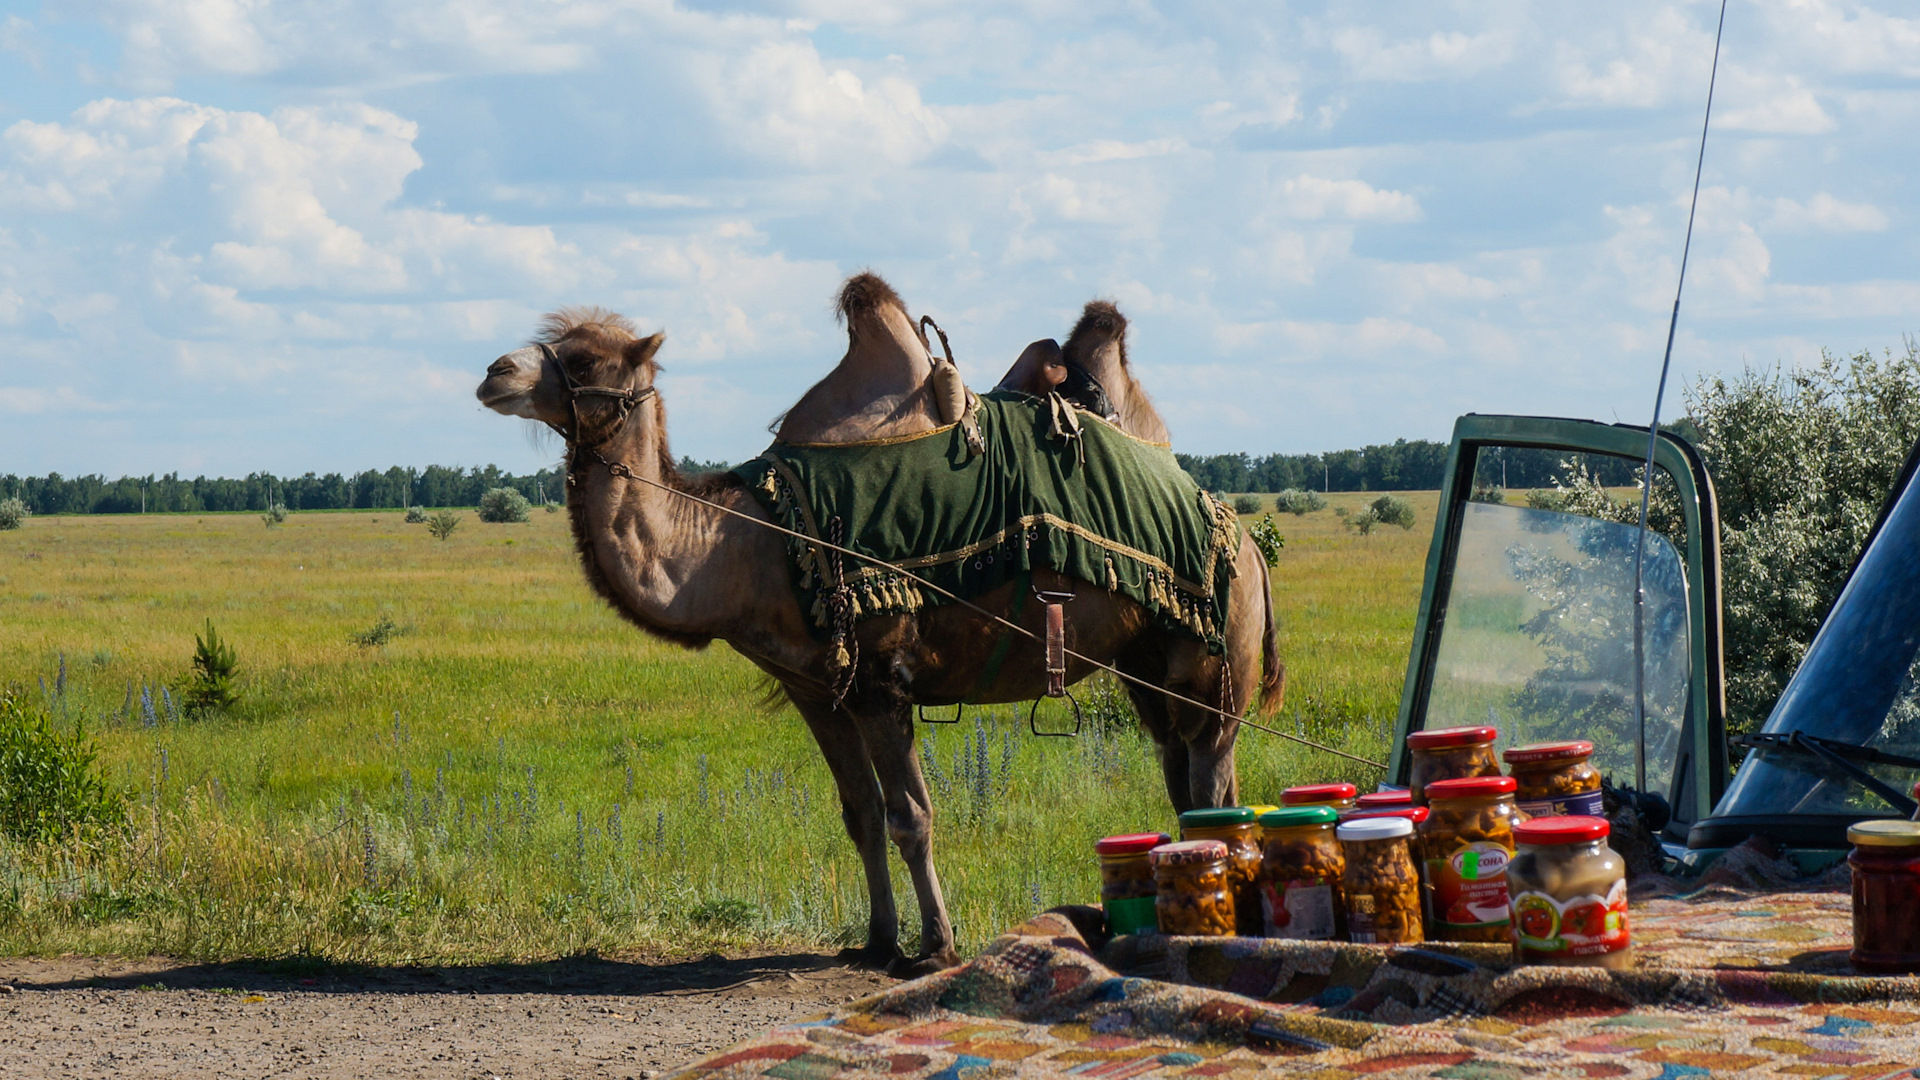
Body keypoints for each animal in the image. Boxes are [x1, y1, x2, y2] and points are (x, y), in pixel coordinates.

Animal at [478, 272, 1282, 972]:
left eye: (583, 358)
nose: (493, 372)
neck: (752, 540)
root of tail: (1241, 536)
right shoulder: (819, 689)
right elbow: (859, 812)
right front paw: (875, 942)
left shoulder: (882, 679)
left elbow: (910, 815)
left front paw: (936, 946)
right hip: (1149, 667)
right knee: (1185, 776)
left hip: (1215, 663)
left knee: (1210, 780)